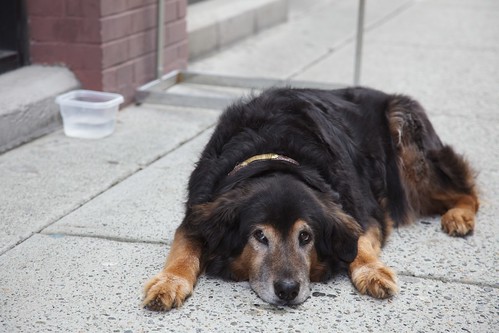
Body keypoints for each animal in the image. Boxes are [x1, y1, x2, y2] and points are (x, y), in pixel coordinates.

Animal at [143, 86, 478, 308]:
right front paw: (169, 281)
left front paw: (372, 271)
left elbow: (359, 243)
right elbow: (184, 249)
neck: (275, 153)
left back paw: (460, 216)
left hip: (405, 137)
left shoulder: (364, 212)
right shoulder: (198, 213)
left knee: (466, 189)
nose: (288, 290)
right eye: (259, 236)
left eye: (306, 237)